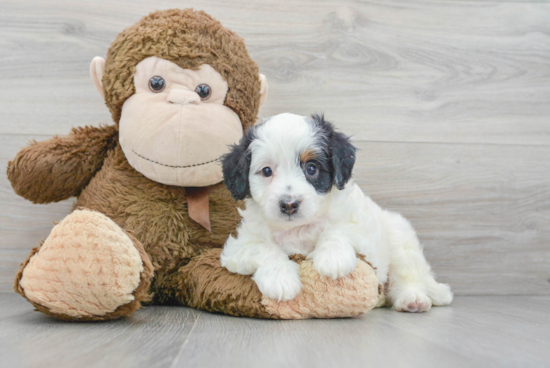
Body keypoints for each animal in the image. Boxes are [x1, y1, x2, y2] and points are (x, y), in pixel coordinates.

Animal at [222, 113, 454, 312]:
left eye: (311, 169)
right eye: (267, 171)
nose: (289, 204)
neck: (297, 229)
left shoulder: (363, 229)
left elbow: (337, 230)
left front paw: (333, 258)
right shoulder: (237, 248)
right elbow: (264, 248)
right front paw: (280, 278)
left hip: (399, 236)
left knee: (407, 276)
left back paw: (412, 298)